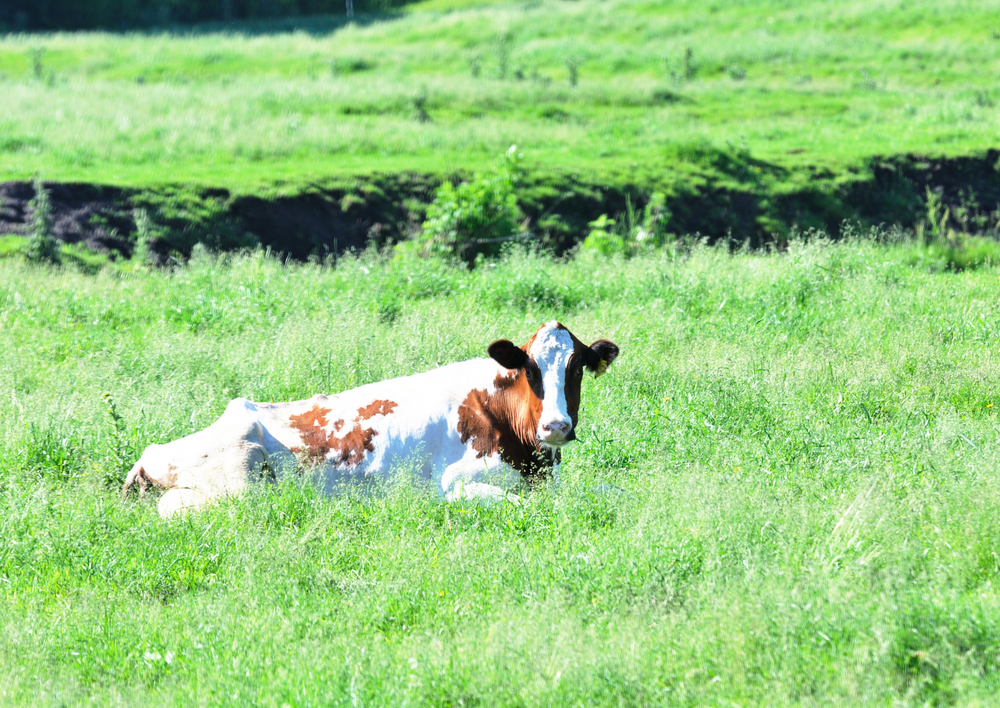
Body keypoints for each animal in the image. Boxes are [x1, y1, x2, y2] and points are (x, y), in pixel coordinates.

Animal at [122, 321, 619, 517]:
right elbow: (523, 504)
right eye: (530, 369)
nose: (556, 427)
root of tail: (151, 453)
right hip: (240, 482)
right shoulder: (455, 483)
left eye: (576, 368)